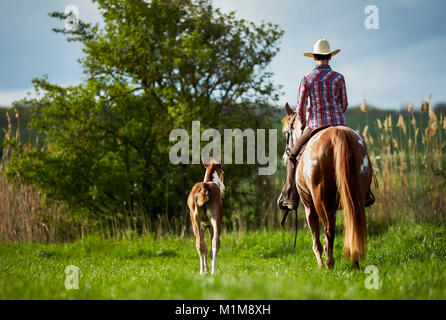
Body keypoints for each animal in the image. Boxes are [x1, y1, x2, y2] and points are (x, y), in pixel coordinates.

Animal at [282, 104, 372, 268]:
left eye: (287, 132)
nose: (285, 155)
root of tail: (338, 134)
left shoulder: (309, 206)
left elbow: (316, 239)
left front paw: (320, 265)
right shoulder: (333, 207)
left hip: (319, 199)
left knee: (328, 230)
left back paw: (329, 264)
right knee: (355, 224)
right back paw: (355, 263)